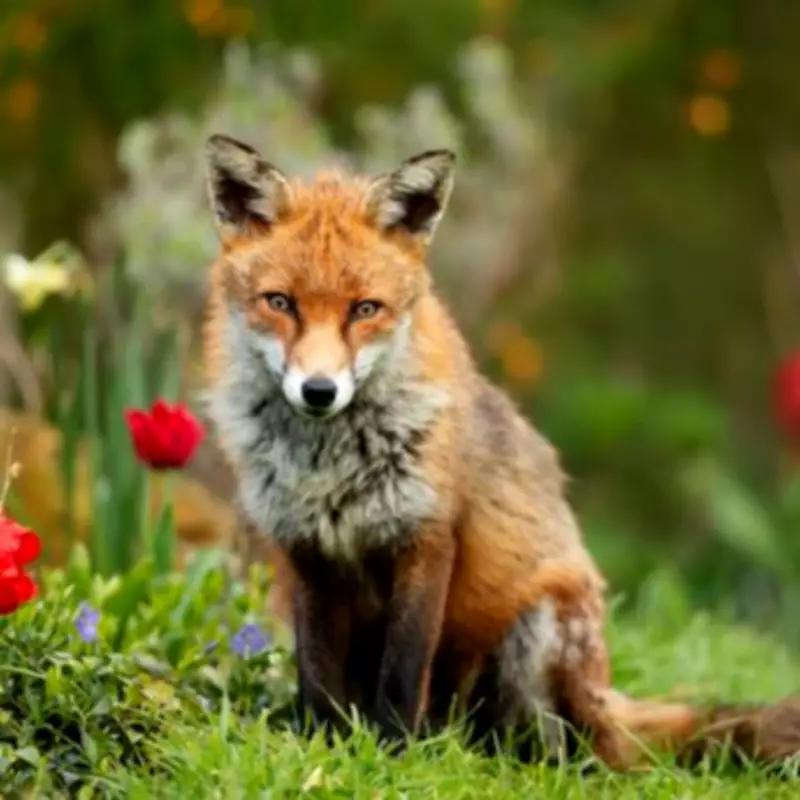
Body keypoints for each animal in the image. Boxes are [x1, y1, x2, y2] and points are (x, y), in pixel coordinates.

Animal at [201, 132, 800, 770]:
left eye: (365, 309)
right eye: (280, 303)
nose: (319, 391)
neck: (328, 467)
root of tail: (606, 701)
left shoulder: (429, 539)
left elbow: (402, 672)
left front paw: (391, 755)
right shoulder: (308, 554)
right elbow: (317, 677)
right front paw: (320, 747)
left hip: (540, 627)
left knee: (568, 749)